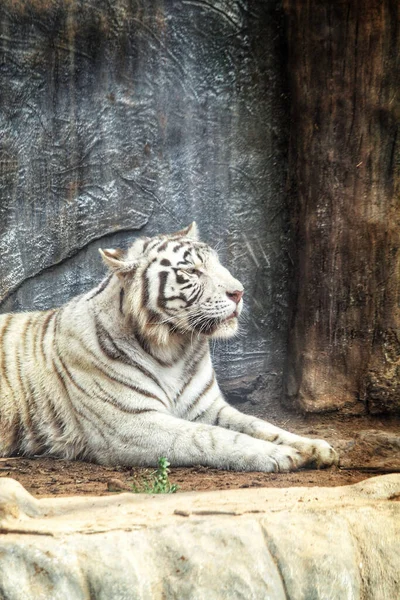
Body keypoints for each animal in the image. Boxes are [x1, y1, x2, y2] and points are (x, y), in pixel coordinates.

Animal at [0, 223, 338, 472]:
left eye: (219, 264)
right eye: (191, 271)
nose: (239, 292)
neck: (175, 348)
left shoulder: (207, 408)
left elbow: (259, 423)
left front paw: (315, 446)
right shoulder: (130, 424)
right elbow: (211, 437)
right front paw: (279, 455)